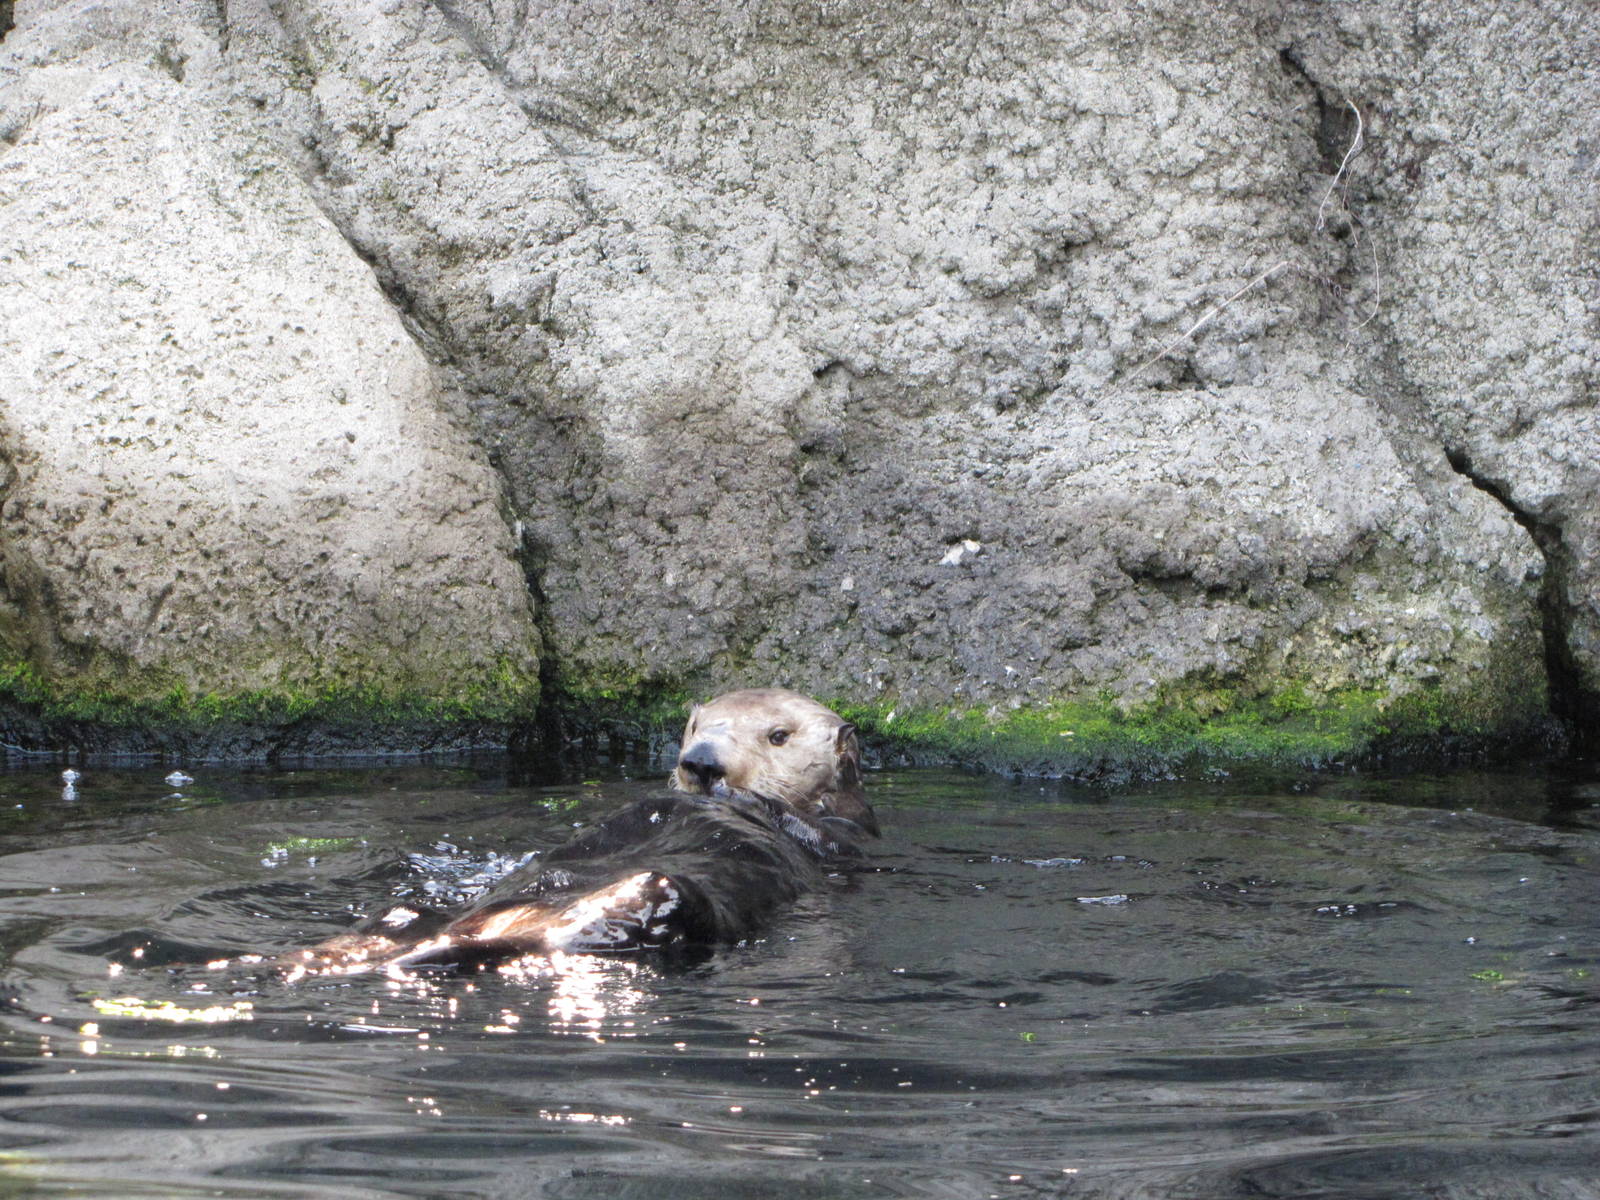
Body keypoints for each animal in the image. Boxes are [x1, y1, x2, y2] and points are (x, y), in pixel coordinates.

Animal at [295, 689, 875, 975]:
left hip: (653, 898)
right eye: (694, 726)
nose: (701, 761)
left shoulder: (845, 839)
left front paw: (739, 798)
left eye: (778, 736)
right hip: (407, 916)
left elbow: (810, 830)